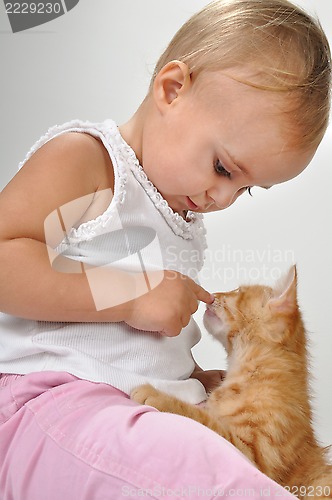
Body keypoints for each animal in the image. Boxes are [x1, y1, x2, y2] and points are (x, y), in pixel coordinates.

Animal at [132, 268, 332, 498]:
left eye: (238, 292)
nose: (213, 294)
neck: (252, 374)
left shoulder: (251, 456)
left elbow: (204, 419)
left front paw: (158, 396)